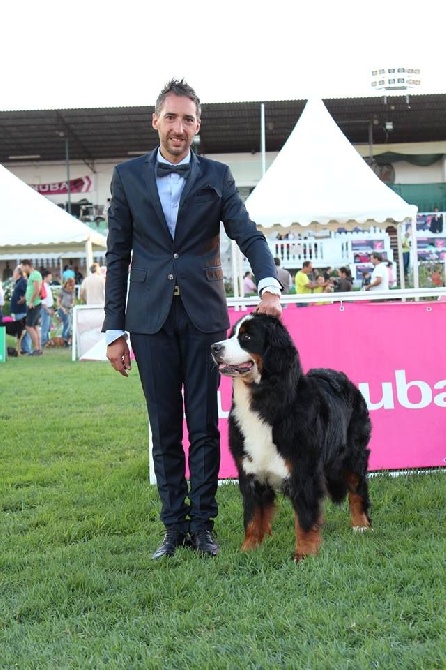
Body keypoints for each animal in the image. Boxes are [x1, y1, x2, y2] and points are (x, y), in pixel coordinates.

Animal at [211, 316, 372, 560]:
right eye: (231, 335)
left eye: (246, 337)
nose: (214, 347)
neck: (263, 401)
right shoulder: (250, 472)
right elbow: (252, 516)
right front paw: (248, 550)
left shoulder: (304, 472)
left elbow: (305, 518)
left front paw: (303, 554)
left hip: (353, 454)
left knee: (357, 487)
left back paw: (361, 524)